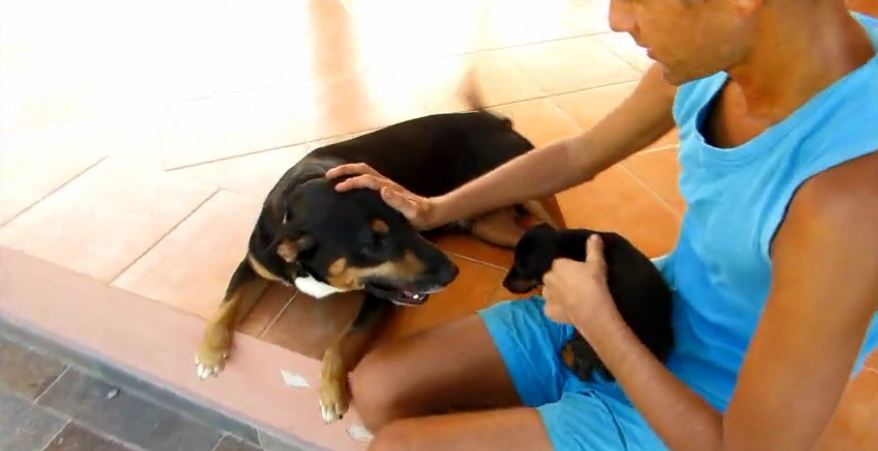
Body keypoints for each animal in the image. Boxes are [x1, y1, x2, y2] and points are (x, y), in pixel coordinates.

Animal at [192, 94, 564, 424]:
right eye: (374, 242)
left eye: (406, 219)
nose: (452, 272)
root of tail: (495, 119)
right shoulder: (254, 264)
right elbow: (227, 304)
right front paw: (210, 353)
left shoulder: (378, 299)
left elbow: (343, 343)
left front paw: (332, 394)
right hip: (490, 224)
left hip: (529, 185)